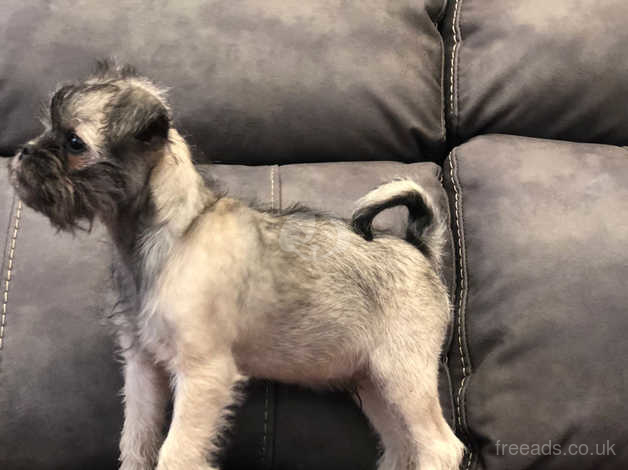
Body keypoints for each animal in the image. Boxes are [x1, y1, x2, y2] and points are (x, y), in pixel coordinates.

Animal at [7, 63, 464, 470]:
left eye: (73, 142)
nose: (23, 153)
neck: (176, 231)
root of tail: (420, 247)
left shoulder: (203, 374)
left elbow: (176, 453)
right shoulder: (143, 370)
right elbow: (136, 444)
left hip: (403, 375)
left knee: (441, 448)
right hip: (375, 385)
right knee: (403, 448)